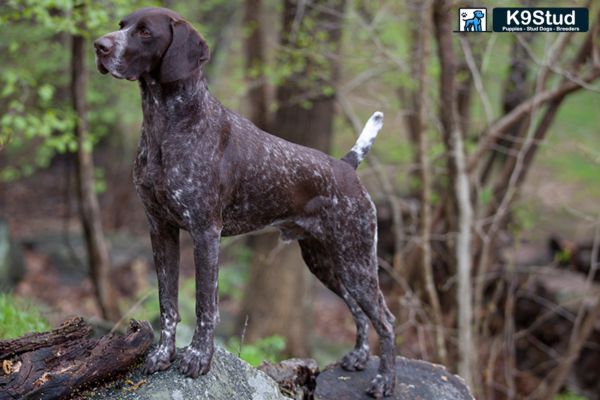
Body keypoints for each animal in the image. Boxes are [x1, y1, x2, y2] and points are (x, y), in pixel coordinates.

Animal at [94, 6, 396, 396]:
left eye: (145, 31)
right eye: (121, 26)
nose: (99, 46)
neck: (166, 124)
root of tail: (346, 165)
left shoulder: (205, 233)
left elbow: (205, 307)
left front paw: (198, 359)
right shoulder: (160, 229)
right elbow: (167, 303)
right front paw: (163, 355)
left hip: (356, 261)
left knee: (386, 319)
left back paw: (384, 381)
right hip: (326, 263)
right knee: (358, 310)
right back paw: (358, 356)